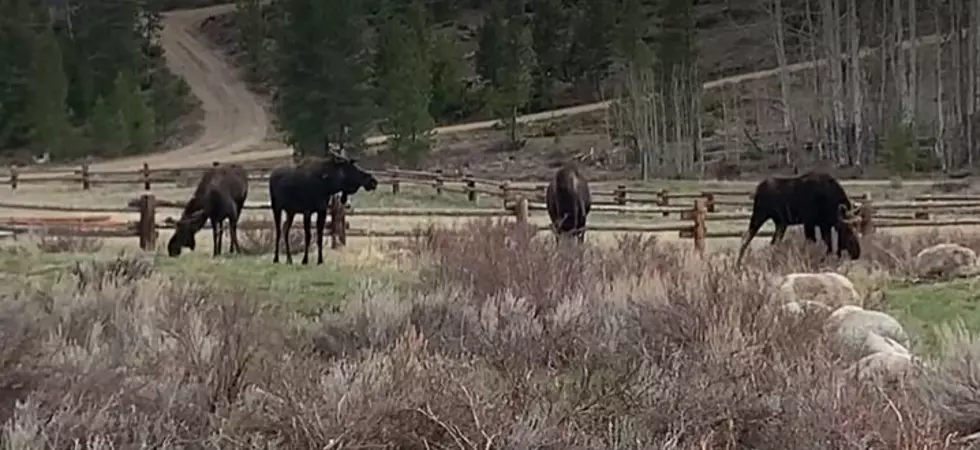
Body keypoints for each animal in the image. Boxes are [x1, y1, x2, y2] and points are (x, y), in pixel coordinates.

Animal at [732, 171, 860, 266]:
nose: (857, 253)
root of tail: (757, 190)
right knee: (746, 238)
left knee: (773, 242)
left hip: (780, 223)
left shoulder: (824, 225)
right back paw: (737, 265)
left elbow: (828, 245)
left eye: (856, 228)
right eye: (848, 230)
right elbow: (813, 244)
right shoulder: (809, 222)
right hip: (759, 215)